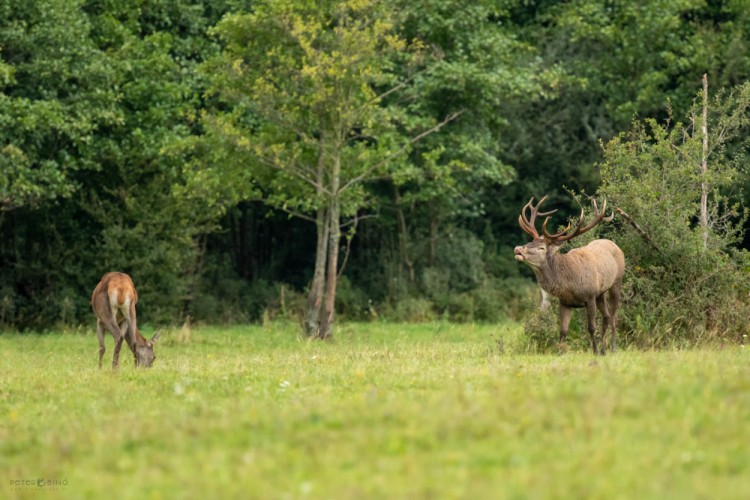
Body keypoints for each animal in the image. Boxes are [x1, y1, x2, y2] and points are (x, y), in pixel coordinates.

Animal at [516, 196, 624, 356]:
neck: (569, 283)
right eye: (529, 242)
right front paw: (559, 352)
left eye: (541, 248)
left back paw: (612, 348)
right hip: (600, 293)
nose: (518, 249)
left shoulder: (590, 296)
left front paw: (594, 351)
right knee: (606, 316)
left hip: (616, 282)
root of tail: (614, 244)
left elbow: (591, 327)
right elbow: (563, 330)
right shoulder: (565, 302)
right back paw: (604, 349)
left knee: (613, 316)